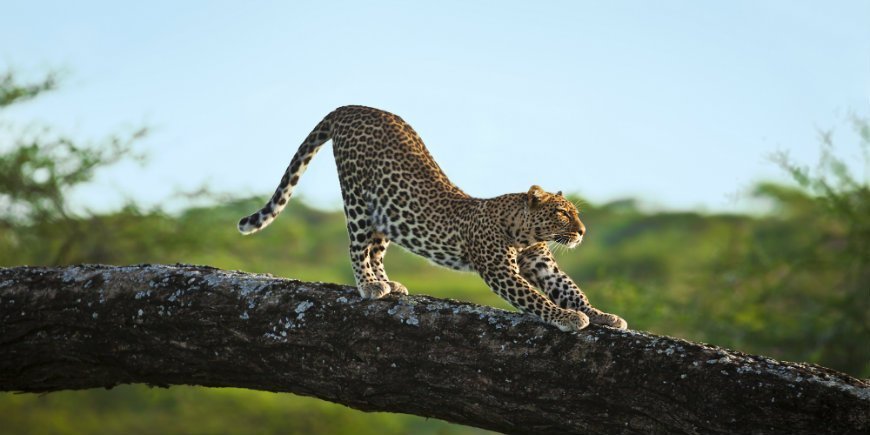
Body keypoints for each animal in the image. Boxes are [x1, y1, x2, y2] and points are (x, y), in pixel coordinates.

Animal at [238, 105, 627, 332]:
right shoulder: (500, 269)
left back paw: (388, 283)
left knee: (375, 248)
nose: (582, 232)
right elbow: (535, 298)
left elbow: (570, 289)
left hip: (387, 208)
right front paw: (567, 318)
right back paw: (369, 285)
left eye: (576, 214)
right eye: (562, 213)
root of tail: (353, 106)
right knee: (357, 245)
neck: (526, 233)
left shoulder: (544, 264)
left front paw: (601, 314)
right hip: (357, 197)